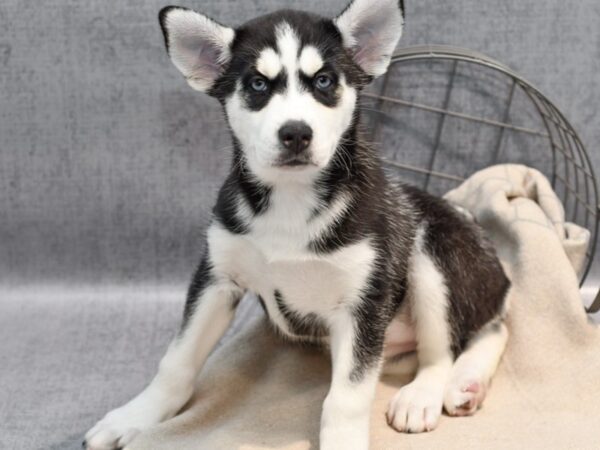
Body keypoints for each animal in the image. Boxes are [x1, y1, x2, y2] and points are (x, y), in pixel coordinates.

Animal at [82, 1, 508, 448]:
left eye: (324, 81)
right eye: (257, 84)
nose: (296, 134)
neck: (291, 199)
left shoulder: (364, 302)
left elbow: (346, 399)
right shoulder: (216, 278)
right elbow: (176, 360)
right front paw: (137, 415)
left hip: (433, 250)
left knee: (460, 343)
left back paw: (428, 393)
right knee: (487, 328)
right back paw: (467, 384)